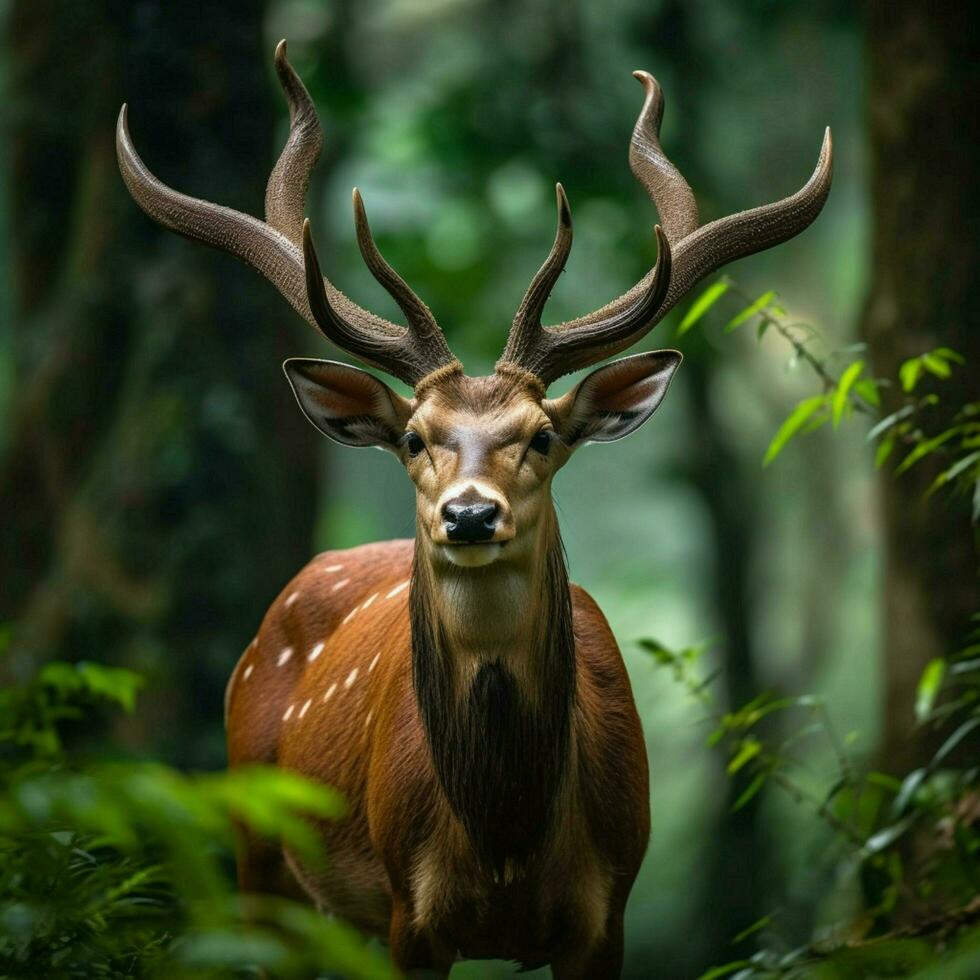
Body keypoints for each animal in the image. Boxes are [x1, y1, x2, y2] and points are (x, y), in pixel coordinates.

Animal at [117, 40, 836, 980]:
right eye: (414, 437)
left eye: (542, 435)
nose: (467, 517)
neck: (506, 840)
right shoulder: (407, 913)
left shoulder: (609, 911)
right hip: (256, 845)